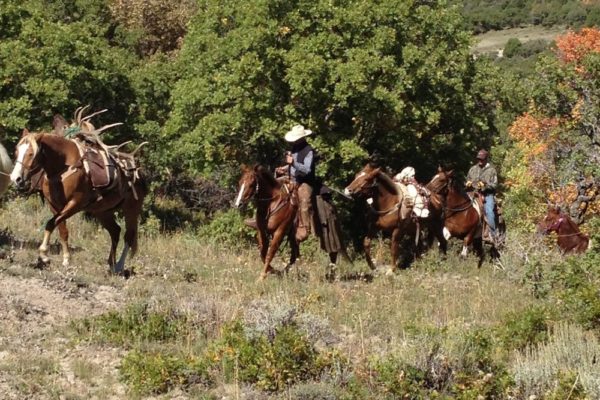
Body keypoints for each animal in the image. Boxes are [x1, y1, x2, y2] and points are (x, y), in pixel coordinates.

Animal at [10, 130, 146, 274]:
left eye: (31, 153)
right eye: (17, 151)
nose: (16, 178)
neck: (63, 166)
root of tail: (139, 173)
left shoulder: (75, 203)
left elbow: (50, 223)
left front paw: (44, 254)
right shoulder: (55, 206)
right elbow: (61, 230)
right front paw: (66, 259)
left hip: (131, 209)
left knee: (129, 236)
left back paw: (119, 266)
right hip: (103, 212)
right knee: (115, 231)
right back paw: (111, 263)